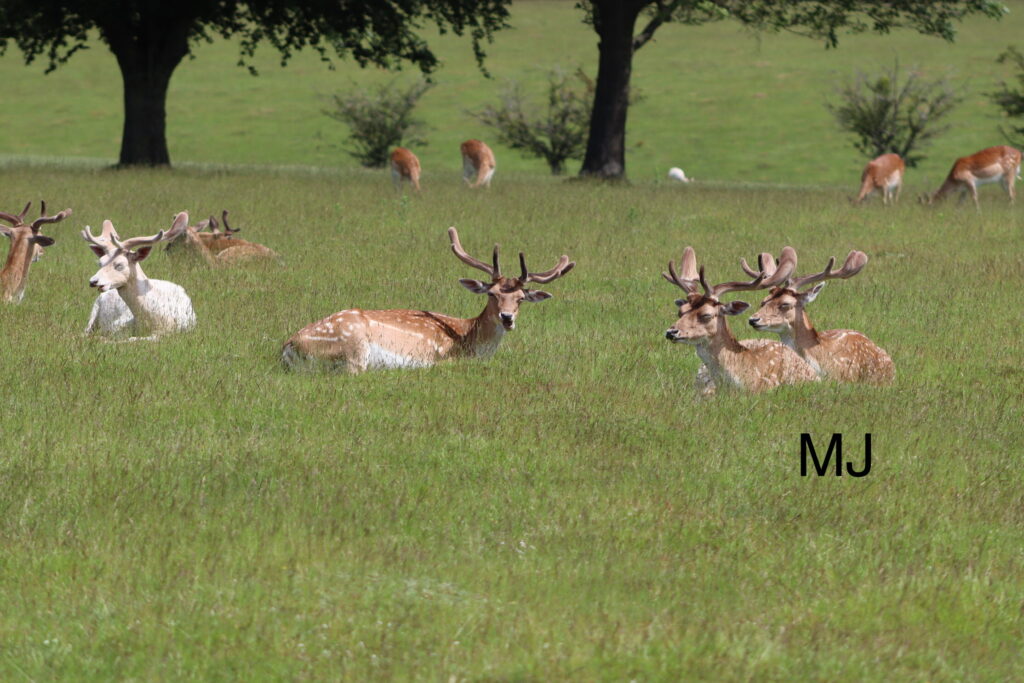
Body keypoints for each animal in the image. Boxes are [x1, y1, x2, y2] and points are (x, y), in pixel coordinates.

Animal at [282, 227, 574, 373]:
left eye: (521, 298)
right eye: (492, 294)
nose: (507, 318)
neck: (470, 340)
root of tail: (288, 347)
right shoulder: (441, 356)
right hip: (354, 347)